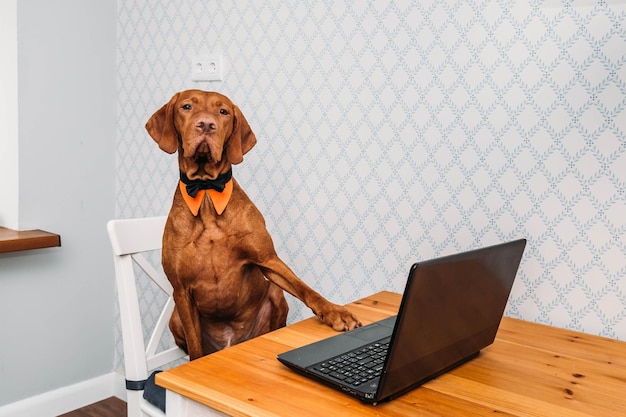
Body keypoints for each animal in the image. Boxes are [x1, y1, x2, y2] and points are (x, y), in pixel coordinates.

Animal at [146, 89, 358, 360]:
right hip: (175, 315)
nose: (206, 125)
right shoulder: (181, 291)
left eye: (223, 111)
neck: (206, 193)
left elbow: (305, 288)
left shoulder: (268, 259)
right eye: (186, 107)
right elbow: (195, 349)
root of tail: (230, 343)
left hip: (275, 294)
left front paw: (334, 312)